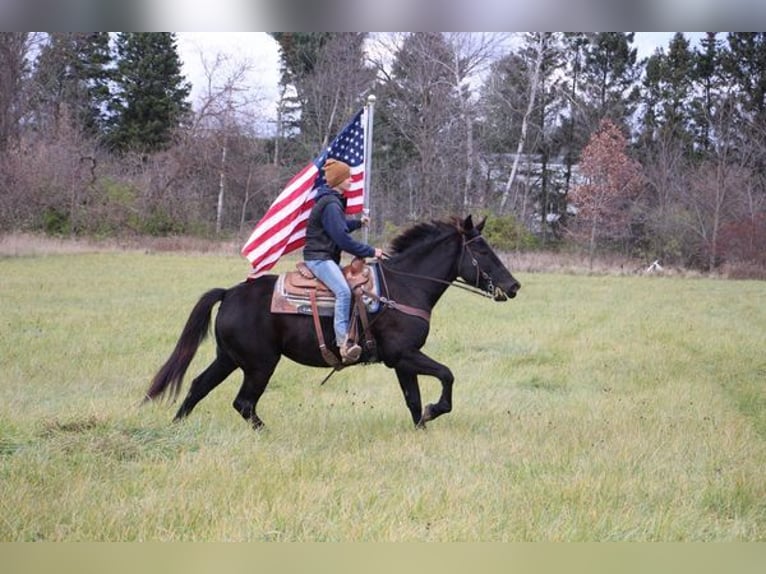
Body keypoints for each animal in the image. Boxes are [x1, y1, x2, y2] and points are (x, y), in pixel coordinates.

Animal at [146, 217, 520, 432]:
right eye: (482, 251)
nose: (514, 286)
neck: (405, 286)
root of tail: (230, 293)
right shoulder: (404, 354)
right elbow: (446, 375)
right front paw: (435, 410)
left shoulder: (403, 361)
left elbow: (412, 399)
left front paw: (422, 427)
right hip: (259, 364)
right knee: (244, 403)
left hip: (229, 358)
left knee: (198, 386)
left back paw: (176, 428)